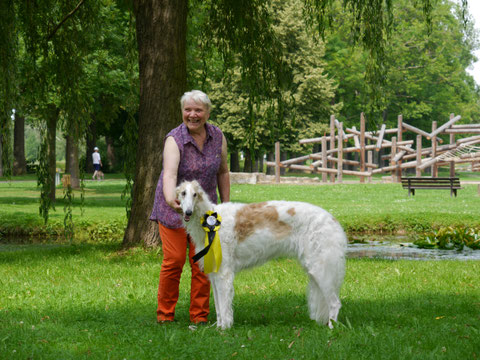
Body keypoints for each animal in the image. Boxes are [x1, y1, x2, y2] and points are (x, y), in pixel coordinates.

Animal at [176, 180, 344, 330]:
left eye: (195, 194)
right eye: (183, 193)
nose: (188, 212)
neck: (209, 221)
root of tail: (333, 220)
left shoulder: (224, 273)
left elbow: (224, 307)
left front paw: (224, 330)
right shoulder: (215, 273)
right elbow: (218, 308)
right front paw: (218, 328)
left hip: (321, 268)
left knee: (335, 303)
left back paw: (332, 328)